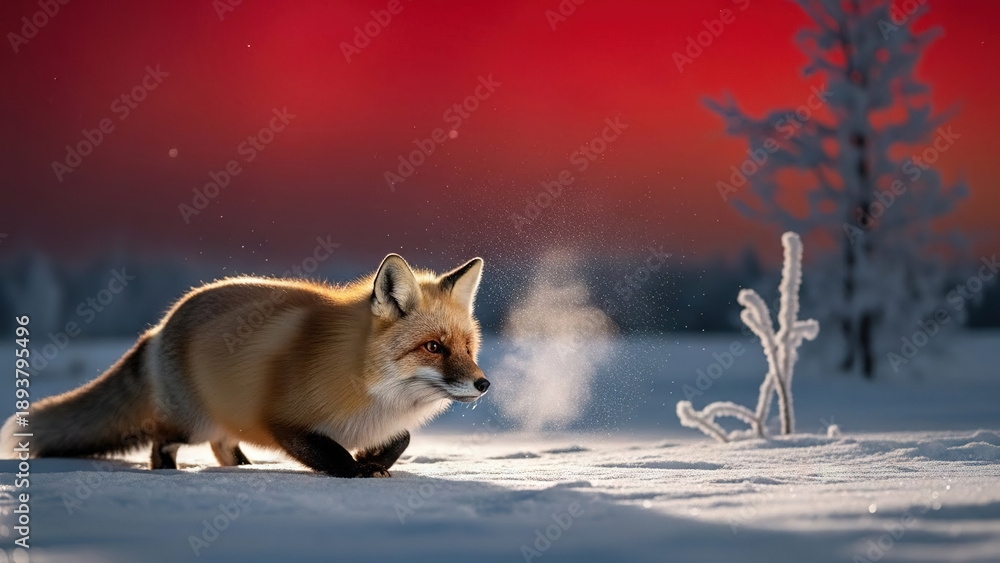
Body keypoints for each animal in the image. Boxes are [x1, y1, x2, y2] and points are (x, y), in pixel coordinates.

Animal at [0, 254, 489, 478]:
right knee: (163, 442)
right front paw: (359, 470)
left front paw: (375, 459)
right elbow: (332, 455)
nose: (484, 384)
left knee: (222, 446)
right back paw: (171, 475)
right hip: (192, 422)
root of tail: (160, 325)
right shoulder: (283, 420)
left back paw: (243, 470)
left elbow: (401, 438)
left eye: (467, 347)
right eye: (433, 347)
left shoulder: (383, 423)